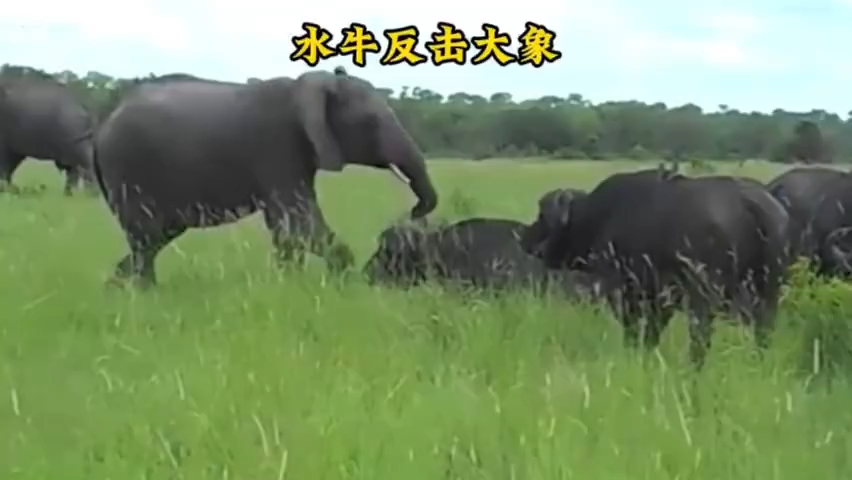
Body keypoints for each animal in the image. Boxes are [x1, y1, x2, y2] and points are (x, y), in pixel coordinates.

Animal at [93, 67, 439, 287]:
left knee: (152, 240)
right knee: (145, 238)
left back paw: (118, 285)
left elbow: (286, 228)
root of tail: (101, 129)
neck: (308, 85)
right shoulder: (277, 146)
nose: (413, 212)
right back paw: (144, 293)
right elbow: (299, 223)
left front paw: (290, 285)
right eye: (370, 122)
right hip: (129, 168)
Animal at [521, 169, 790, 369]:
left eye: (542, 215)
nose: (526, 237)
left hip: (701, 300)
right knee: (764, 333)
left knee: (701, 338)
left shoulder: (623, 293)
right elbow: (652, 334)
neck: (600, 217)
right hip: (768, 296)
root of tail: (749, 202)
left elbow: (632, 331)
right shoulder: (659, 301)